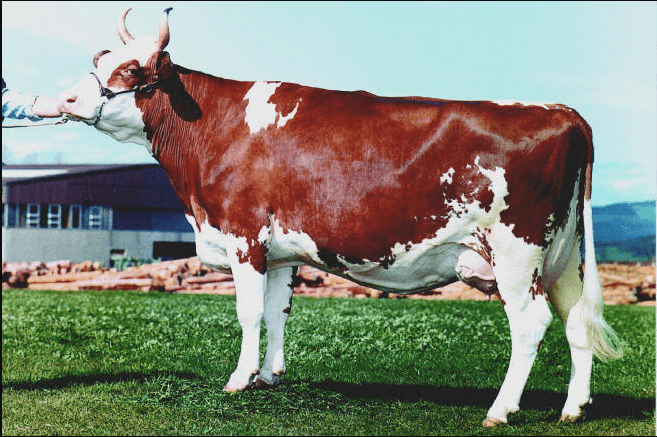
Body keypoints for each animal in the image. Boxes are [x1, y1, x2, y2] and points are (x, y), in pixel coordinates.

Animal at [58, 7, 621, 426]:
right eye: (102, 59)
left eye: (132, 72)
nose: (65, 98)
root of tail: (562, 112)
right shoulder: (280, 250)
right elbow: (278, 312)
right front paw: (270, 376)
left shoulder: (244, 236)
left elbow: (249, 312)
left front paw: (239, 380)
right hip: (563, 253)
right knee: (576, 317)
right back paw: (573, 408)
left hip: (514, 251)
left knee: (531, 322)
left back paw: (500, 409)